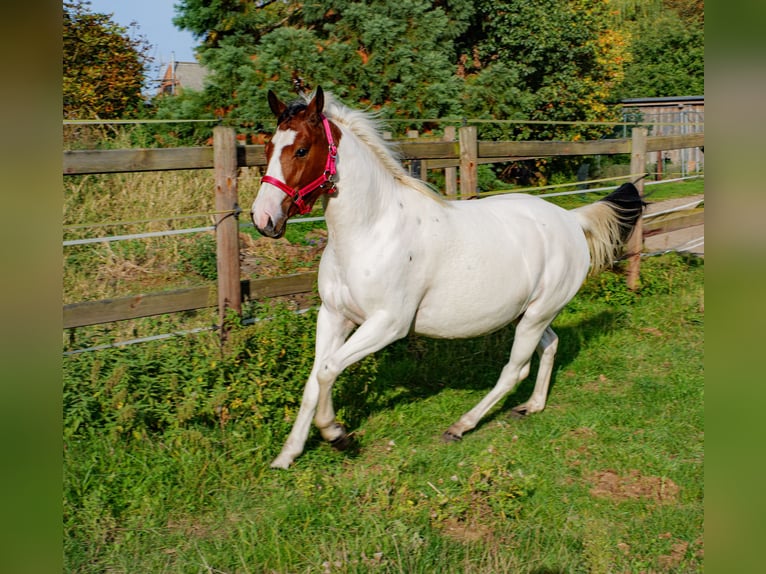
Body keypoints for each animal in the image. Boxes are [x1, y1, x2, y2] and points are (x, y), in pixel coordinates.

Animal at [251, 86, 644, 469]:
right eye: (268, 147)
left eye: (302, 149)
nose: (263, 218)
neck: (371, 231)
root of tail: (572, 220)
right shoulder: (333, 315)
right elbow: (314, 379)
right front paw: (287, 455)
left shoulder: (387, 324)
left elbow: (328, 369)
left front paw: (337, 434)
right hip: (532, 313)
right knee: (551, 345)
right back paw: (531, 406)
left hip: (536, 315)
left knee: (514, 370)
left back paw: (461, 426)